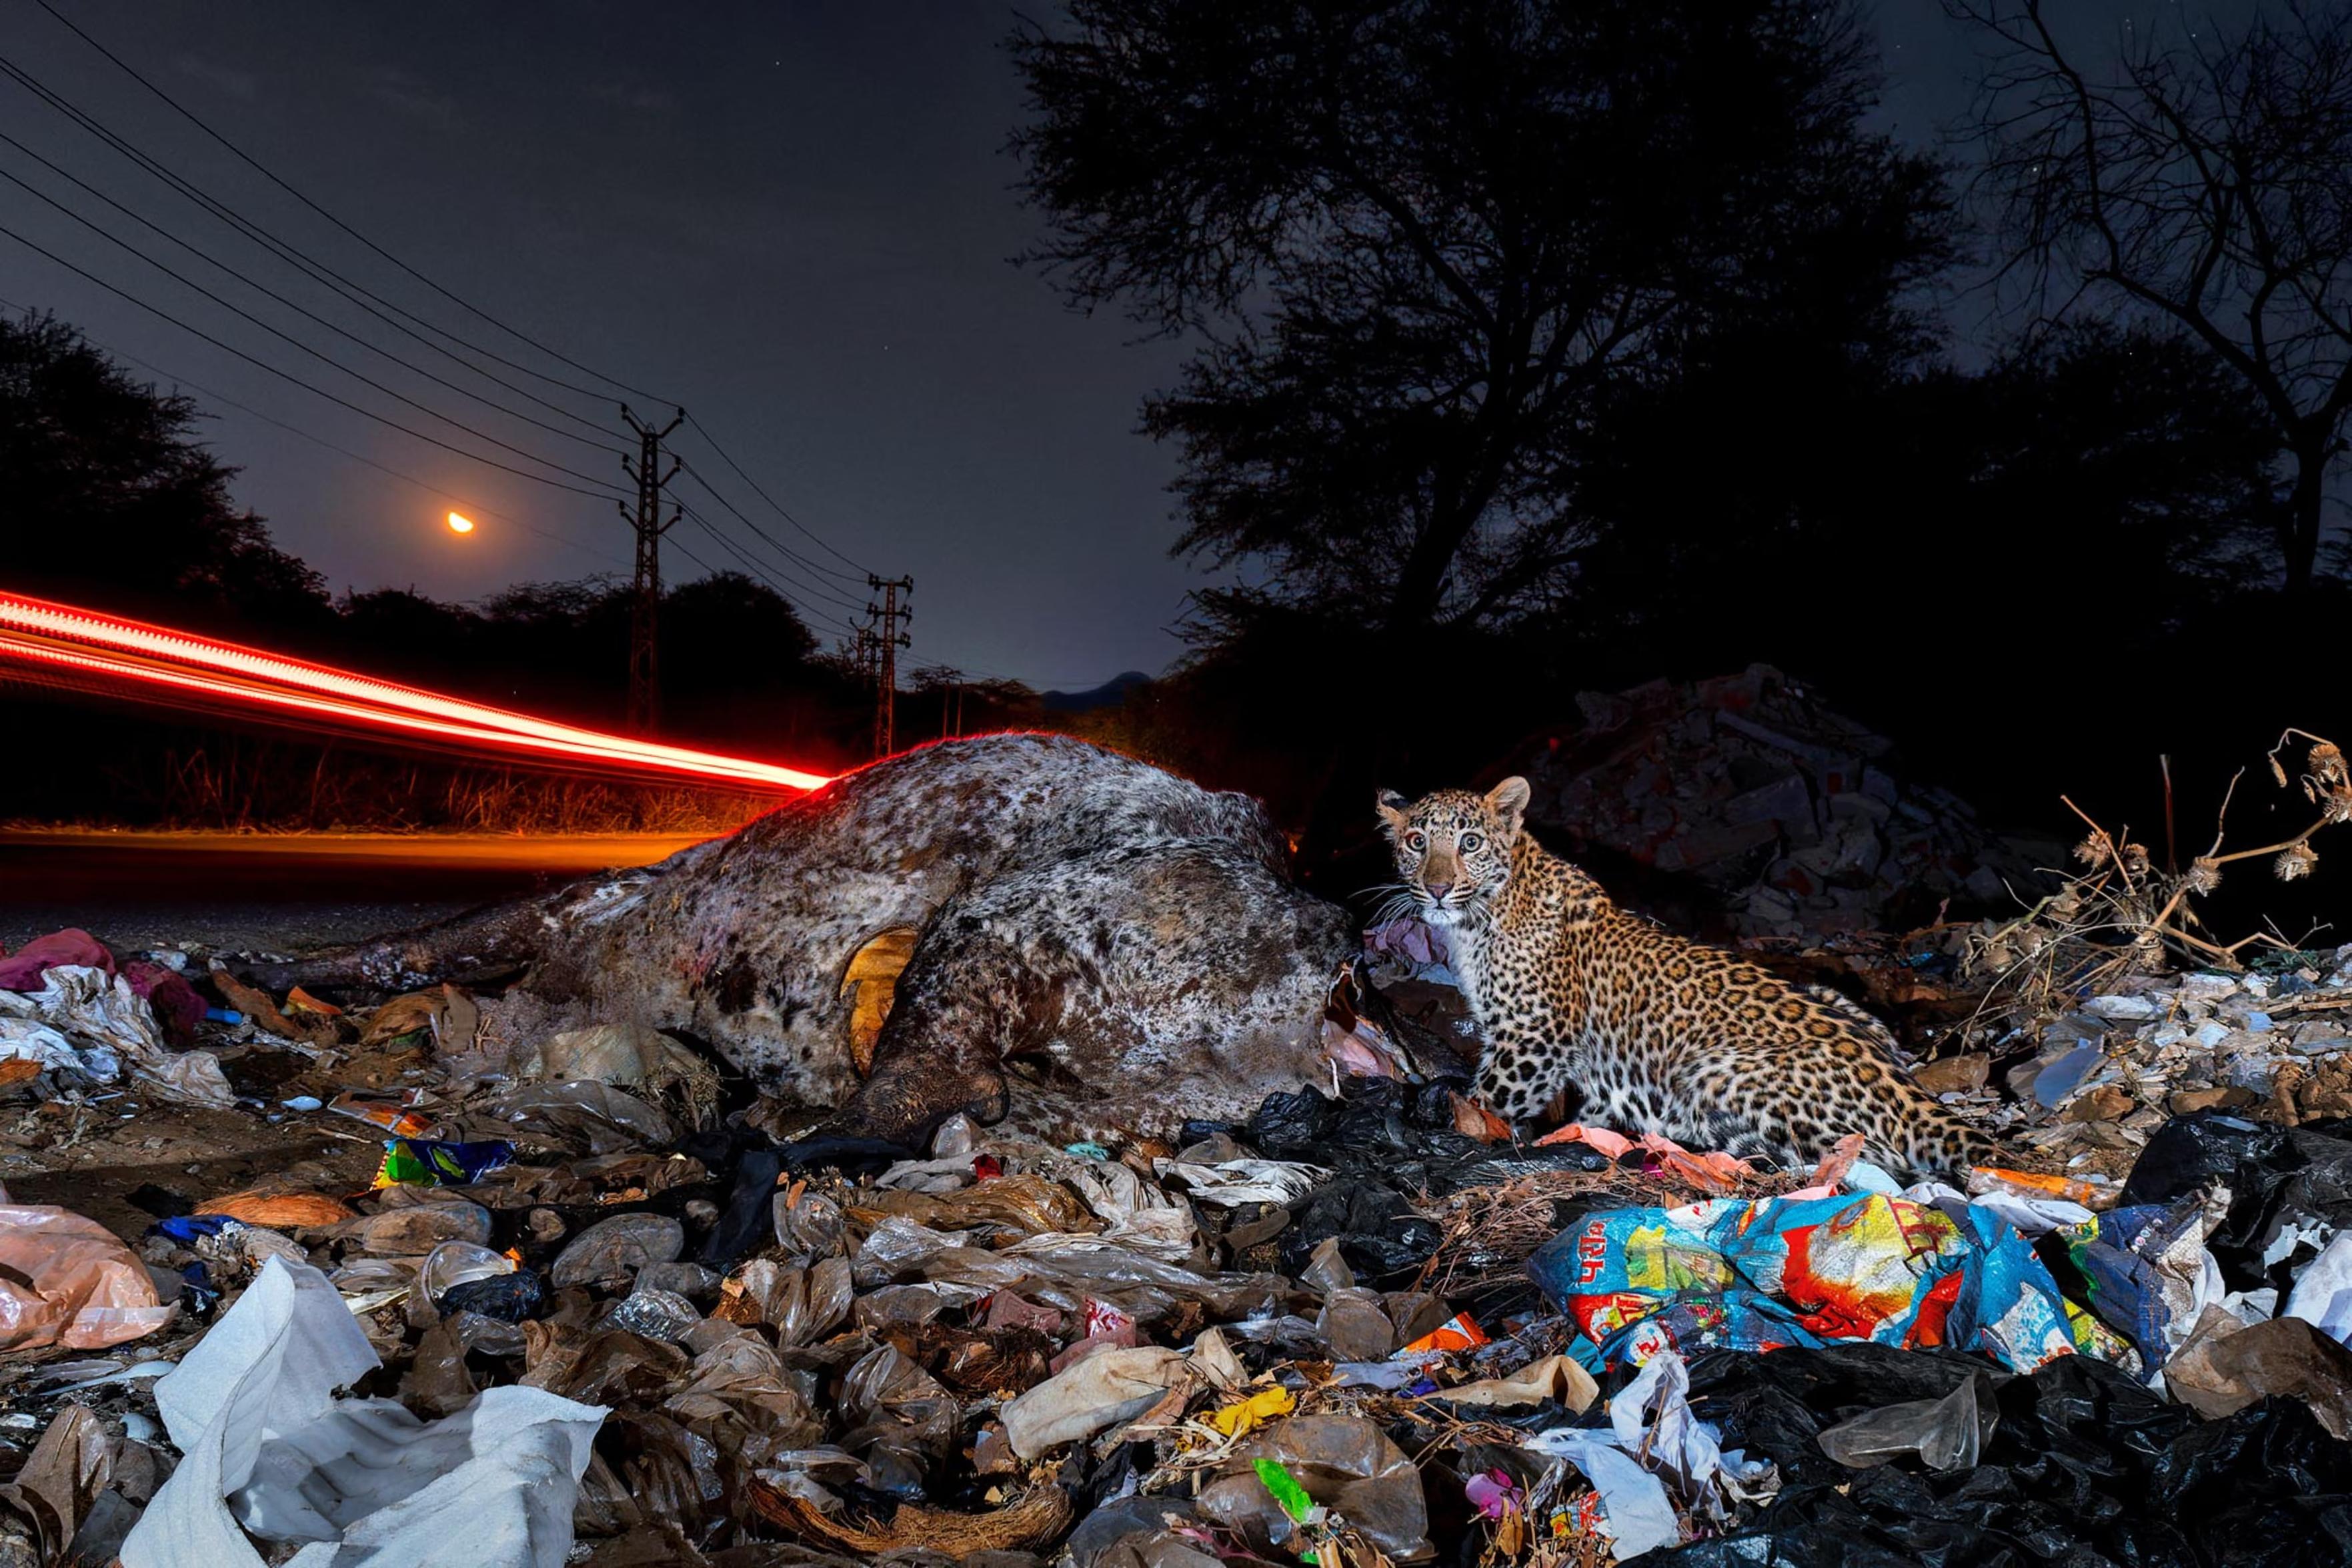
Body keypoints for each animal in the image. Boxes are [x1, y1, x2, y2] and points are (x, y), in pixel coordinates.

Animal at [1375, 777, 2004, 1178]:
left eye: (1470, 842)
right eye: (1416, 843)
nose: (1435, 888)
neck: (1479, 919)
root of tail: (1903, 1088)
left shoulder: (1530, 1039)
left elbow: (1488, 1101)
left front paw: (1451, 1123)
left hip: (1710, 1068)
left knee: (1860, 1160)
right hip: (1835, 997)